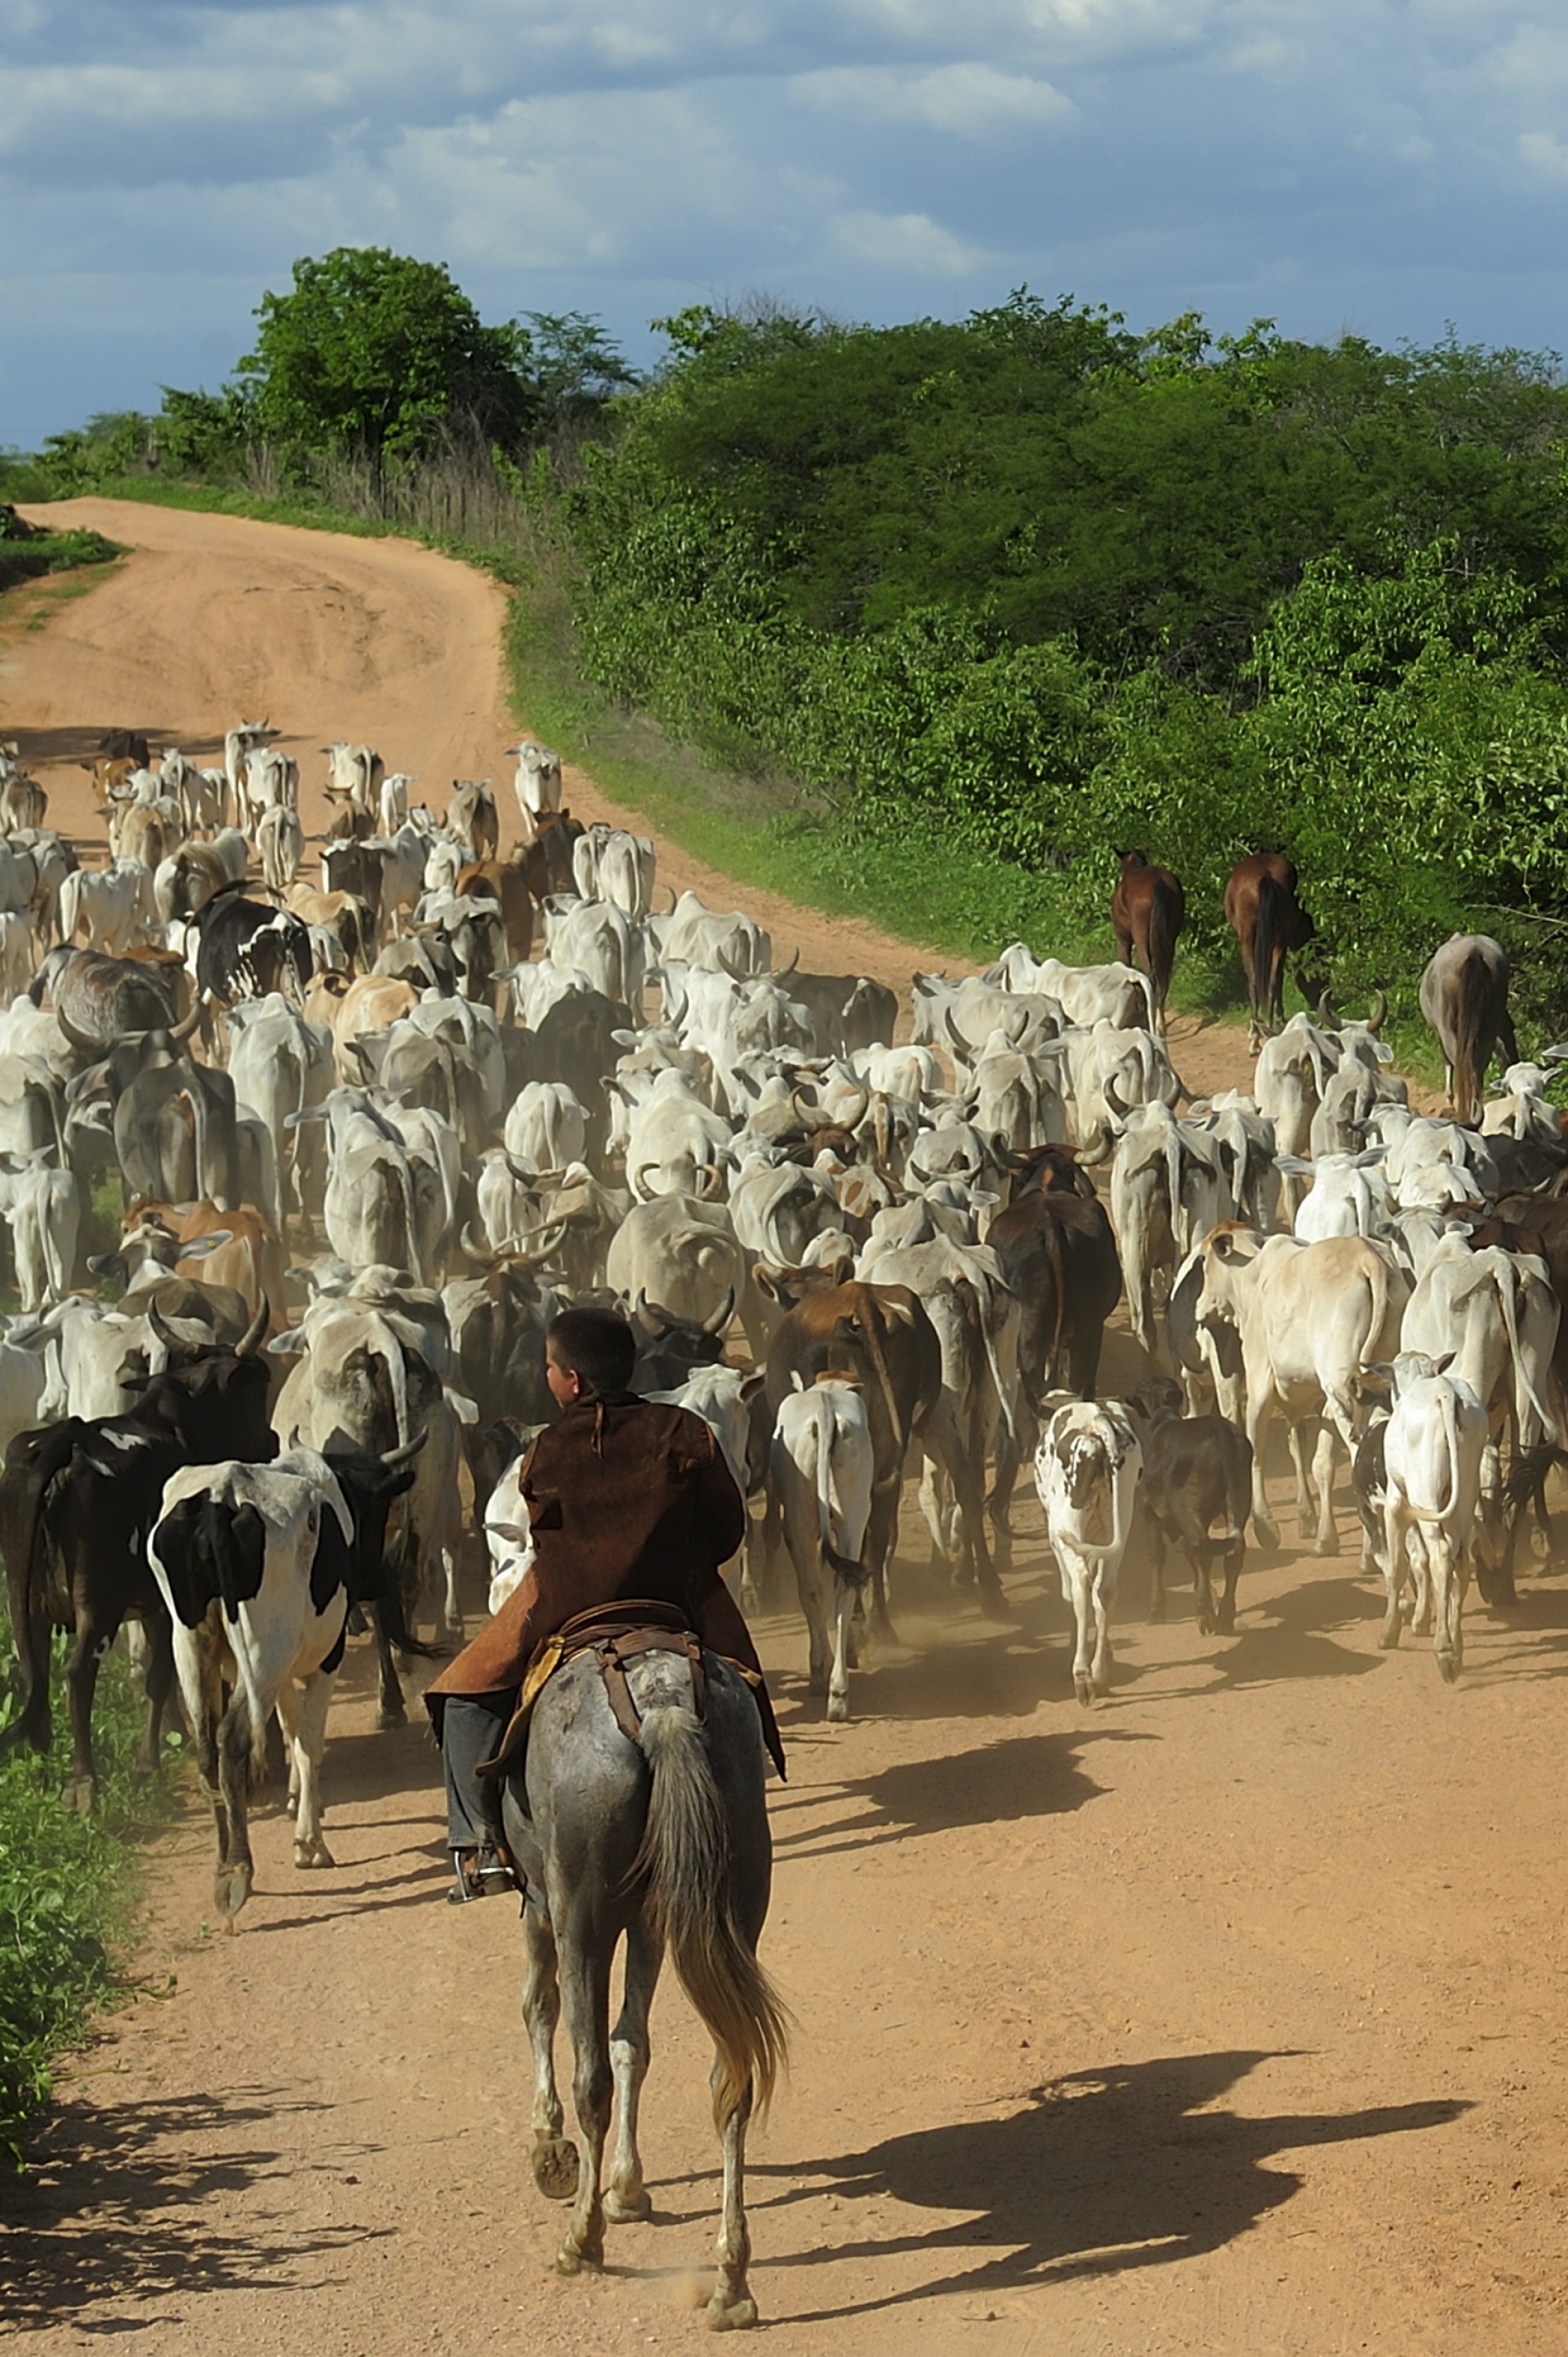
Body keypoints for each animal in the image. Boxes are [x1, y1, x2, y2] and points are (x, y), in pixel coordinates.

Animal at [501, 1650, 787, 2328]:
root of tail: (662, 1705)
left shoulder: (541, 1901)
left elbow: (539, 2008)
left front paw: (550, 2145)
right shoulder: (652, 1918)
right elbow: (634, 2041)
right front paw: (627, 2187)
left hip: (580, 1912)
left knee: (592, 2081)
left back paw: (582, 2241)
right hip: (734, 1896)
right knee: (731, 2080)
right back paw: (731, 2282)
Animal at [1107, 848, 1178, 1032]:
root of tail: (1160, 883)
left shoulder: (1123, 941)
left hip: (1141, 940)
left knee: (1151, 976)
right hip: (1168, 940)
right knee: (1164, 978)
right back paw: (1161, 1025)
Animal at [1216, 853, 1311, 1046]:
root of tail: (1265, 875)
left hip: (1248, 938)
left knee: (1254, 980)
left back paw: (1256, 1032)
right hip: (1278, 939)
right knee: (1272, 980)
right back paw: (1268, 1025)